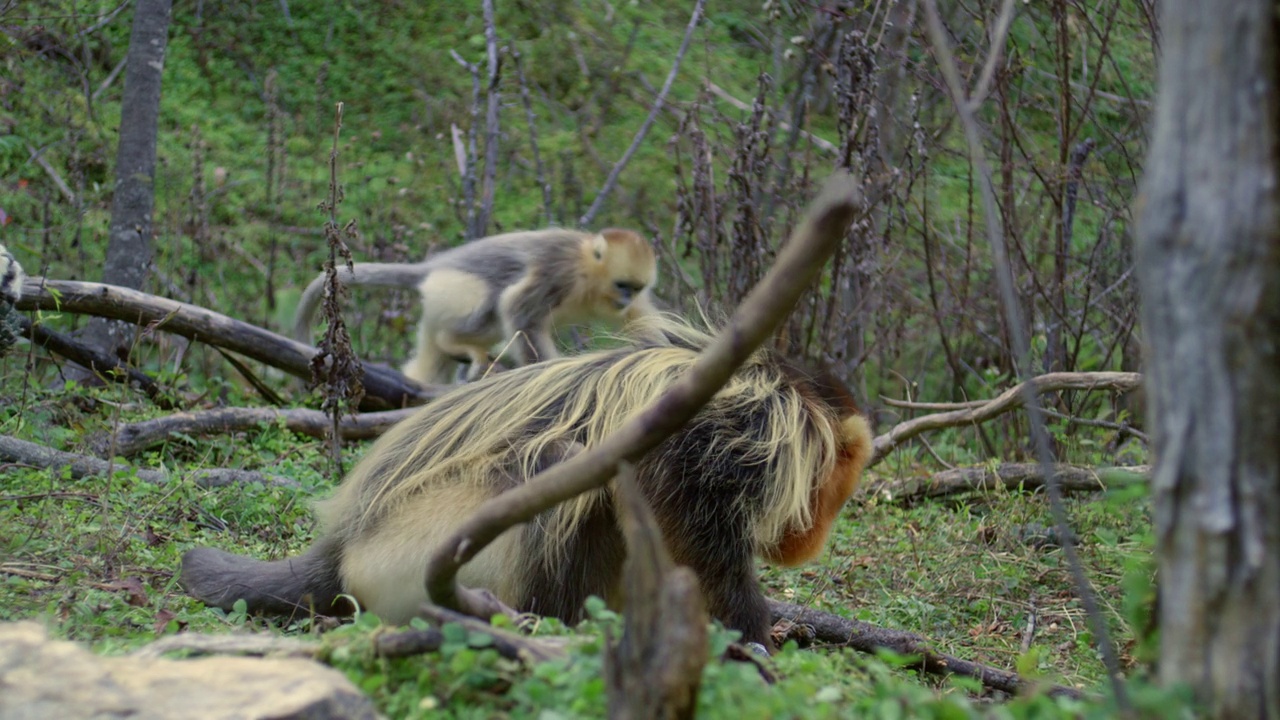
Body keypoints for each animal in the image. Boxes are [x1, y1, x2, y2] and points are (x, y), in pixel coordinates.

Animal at [180, 315, 875, 650]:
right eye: (838, 493)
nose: (816, 538)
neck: (785, 404)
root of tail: (342, 543)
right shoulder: (732, 434)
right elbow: (695, 531)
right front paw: (753, 638)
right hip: (405, 554)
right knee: (555, 462)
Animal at [291, 226, 660, 384]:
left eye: (635, 288)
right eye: (622, 285)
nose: (625, 298)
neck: (588, 270)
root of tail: (433, 267)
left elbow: (642, 322)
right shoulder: (560, 272)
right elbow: (517, 309)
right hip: (455, 291)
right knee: (490, 303)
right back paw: (459, 346)